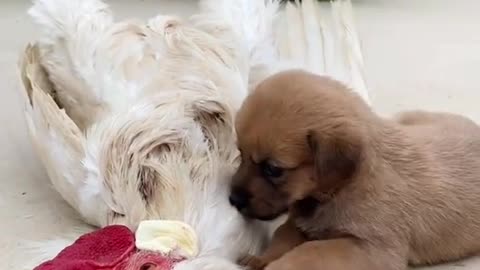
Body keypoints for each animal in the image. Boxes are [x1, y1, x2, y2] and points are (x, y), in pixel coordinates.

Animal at [228, 70, 480, 270]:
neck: (345, 186)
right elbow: (281, 238)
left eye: (273, 169)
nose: (233, 199)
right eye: (240, 154)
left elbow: (311, 251)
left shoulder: (371, 248)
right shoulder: (298, 223)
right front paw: (261, 259)